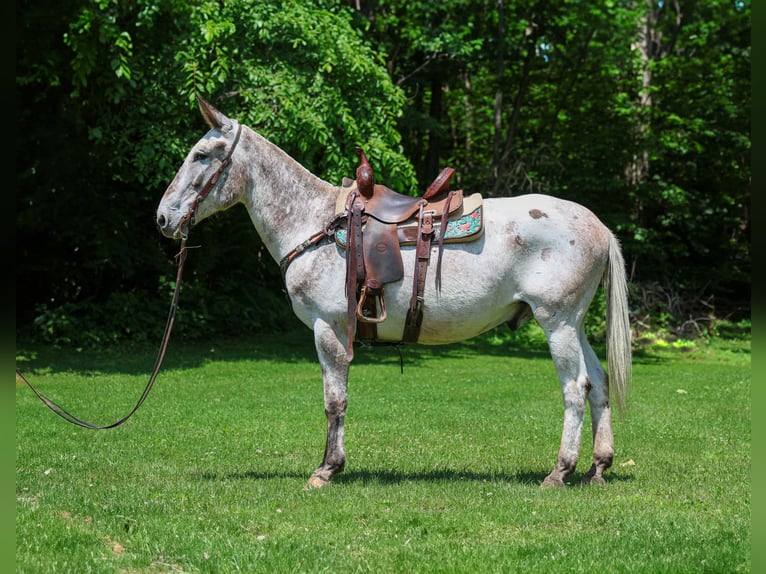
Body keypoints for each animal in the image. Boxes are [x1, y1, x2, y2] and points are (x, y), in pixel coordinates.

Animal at [156, 97, 632, 490]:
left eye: (201, 155)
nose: (163, 218)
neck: (314, 223)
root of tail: (598, 225)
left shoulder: (328, 327)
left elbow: (334, 400)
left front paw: (327, 469)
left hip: (557, 322)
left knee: (576, 387)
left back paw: (560, 471)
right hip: (574, 324)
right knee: (599, 383)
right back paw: (597, 467)